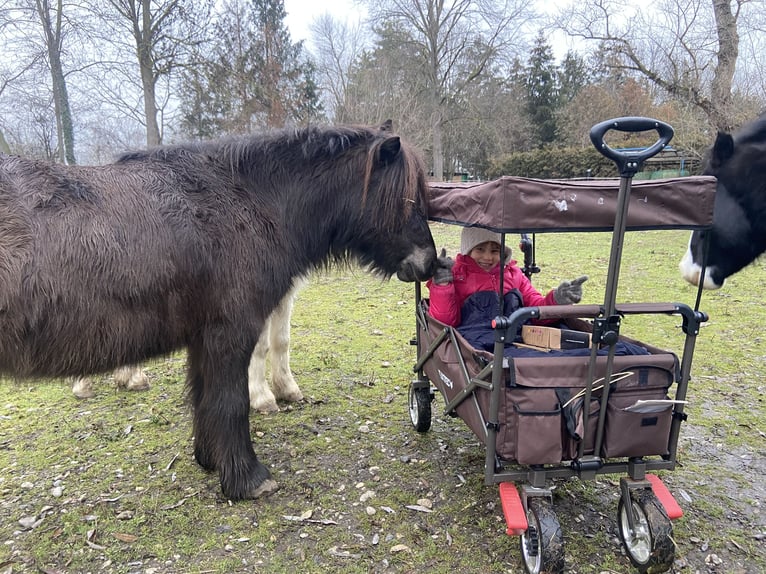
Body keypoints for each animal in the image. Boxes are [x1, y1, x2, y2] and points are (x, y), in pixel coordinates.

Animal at [71, 280, 306, 414]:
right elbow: (261, 347)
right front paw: (262, 397)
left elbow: (281, 340)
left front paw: (286, 387)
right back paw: (83, 386)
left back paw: (130, 378)